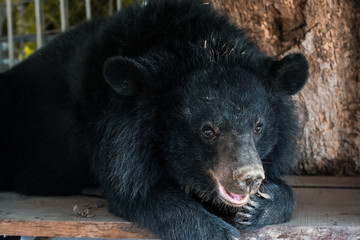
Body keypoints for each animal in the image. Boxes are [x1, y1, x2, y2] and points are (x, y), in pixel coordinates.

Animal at [0, 0, 310, 239]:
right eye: (207, 131)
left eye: (258, 127)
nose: (250, 179)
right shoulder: (117, 138)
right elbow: (139, 193)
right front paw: (218, 232)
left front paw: (260, 205)